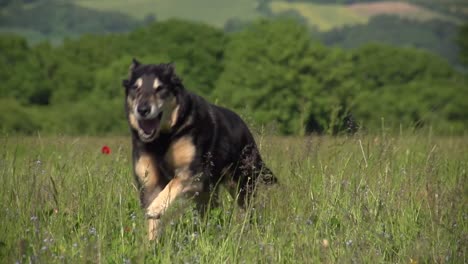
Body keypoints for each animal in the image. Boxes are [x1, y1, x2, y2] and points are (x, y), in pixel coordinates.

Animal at [121, 58, 278, 240]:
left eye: (160, 88)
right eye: (136, 88)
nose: (143, 110)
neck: (164, 137)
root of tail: (246, 130)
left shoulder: (193, 172)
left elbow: (172, 185)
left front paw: (155, 207)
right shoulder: (149, 182)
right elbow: (153, 223)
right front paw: (151, 244)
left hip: (241, 186)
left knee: (249, 212)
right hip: (209, 194)